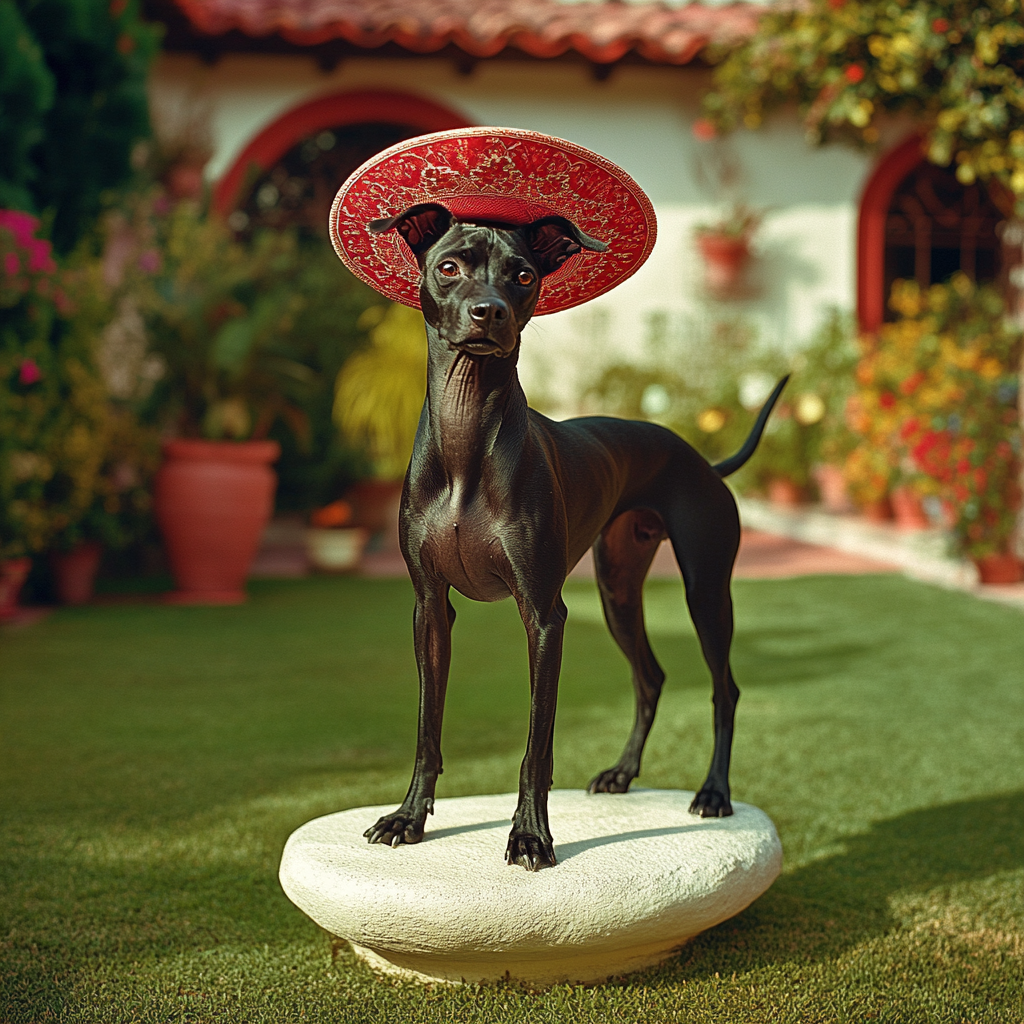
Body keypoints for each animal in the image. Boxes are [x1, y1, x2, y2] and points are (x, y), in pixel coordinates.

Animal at [360, 201, 782, 872]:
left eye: (524, 275)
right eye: (449, 267)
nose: (489, 313)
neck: (467, 441)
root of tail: (700, 459)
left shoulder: (543, 615)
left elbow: (538, 743)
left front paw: (531, 835)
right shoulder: (429, 609)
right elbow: (428, 727)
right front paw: (407, 817)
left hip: (706, 591)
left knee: (725, 689)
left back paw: (714, 792)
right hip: (617, 591)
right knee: (650, 677)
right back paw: (622, 773)